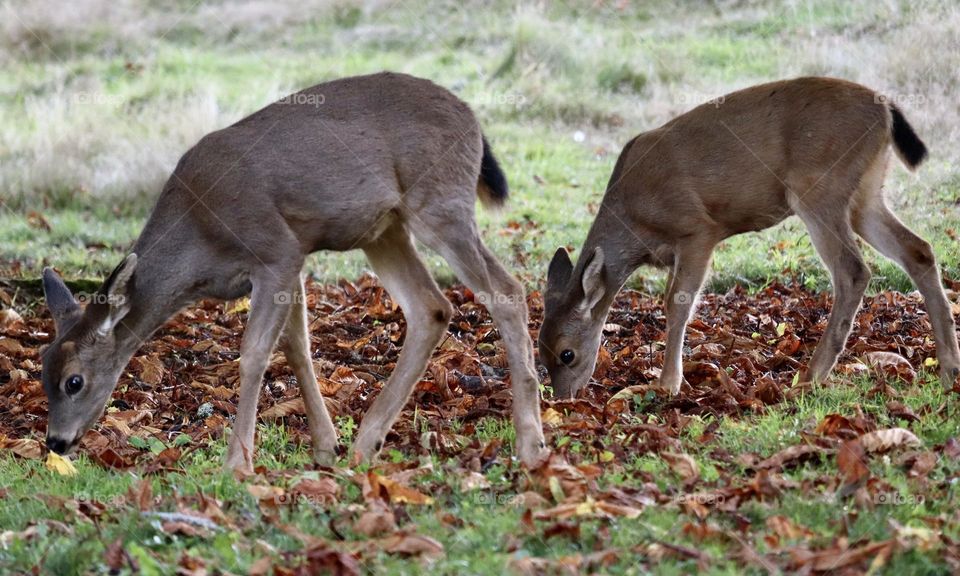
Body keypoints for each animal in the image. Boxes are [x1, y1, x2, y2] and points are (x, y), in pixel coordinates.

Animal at [41, 72, 548, 472]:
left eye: (74, 380)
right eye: (45, 372)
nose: (56, 442)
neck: (199, 243)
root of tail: (475, 121)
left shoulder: (276, 249)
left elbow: (254, 354)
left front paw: (237, 463)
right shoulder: (294, 255)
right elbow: (296, 347)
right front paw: (326, 446)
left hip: (440, 203)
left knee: (507, 290)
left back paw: (530, 444)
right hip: (383, 229)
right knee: (432, 307)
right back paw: (367, 441)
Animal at [540, 76, 960, 398]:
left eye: (566, 354)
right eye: (540, 352)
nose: (563, 398)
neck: (634, 220)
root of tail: (886, 110)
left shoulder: (697, 230)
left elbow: (677, 303)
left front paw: (667, 385)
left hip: (819, 188)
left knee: (853, 270)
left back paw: (811, 376)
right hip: (865, 194)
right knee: (919, 250)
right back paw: (949, 369)